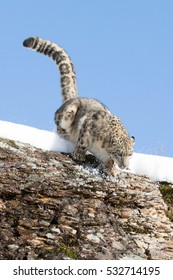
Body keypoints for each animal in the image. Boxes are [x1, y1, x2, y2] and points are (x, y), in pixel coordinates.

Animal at [23, 36, 134, 175]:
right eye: (119, 152)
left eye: (130, 154)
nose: (125, 166)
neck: (102, 149)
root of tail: (74, 97)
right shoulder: (88, 128)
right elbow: (83, 142)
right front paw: (79, 155)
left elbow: (109, 161)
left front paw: (111, 169)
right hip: (67, 113)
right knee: (59, 126)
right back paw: (66, 133)